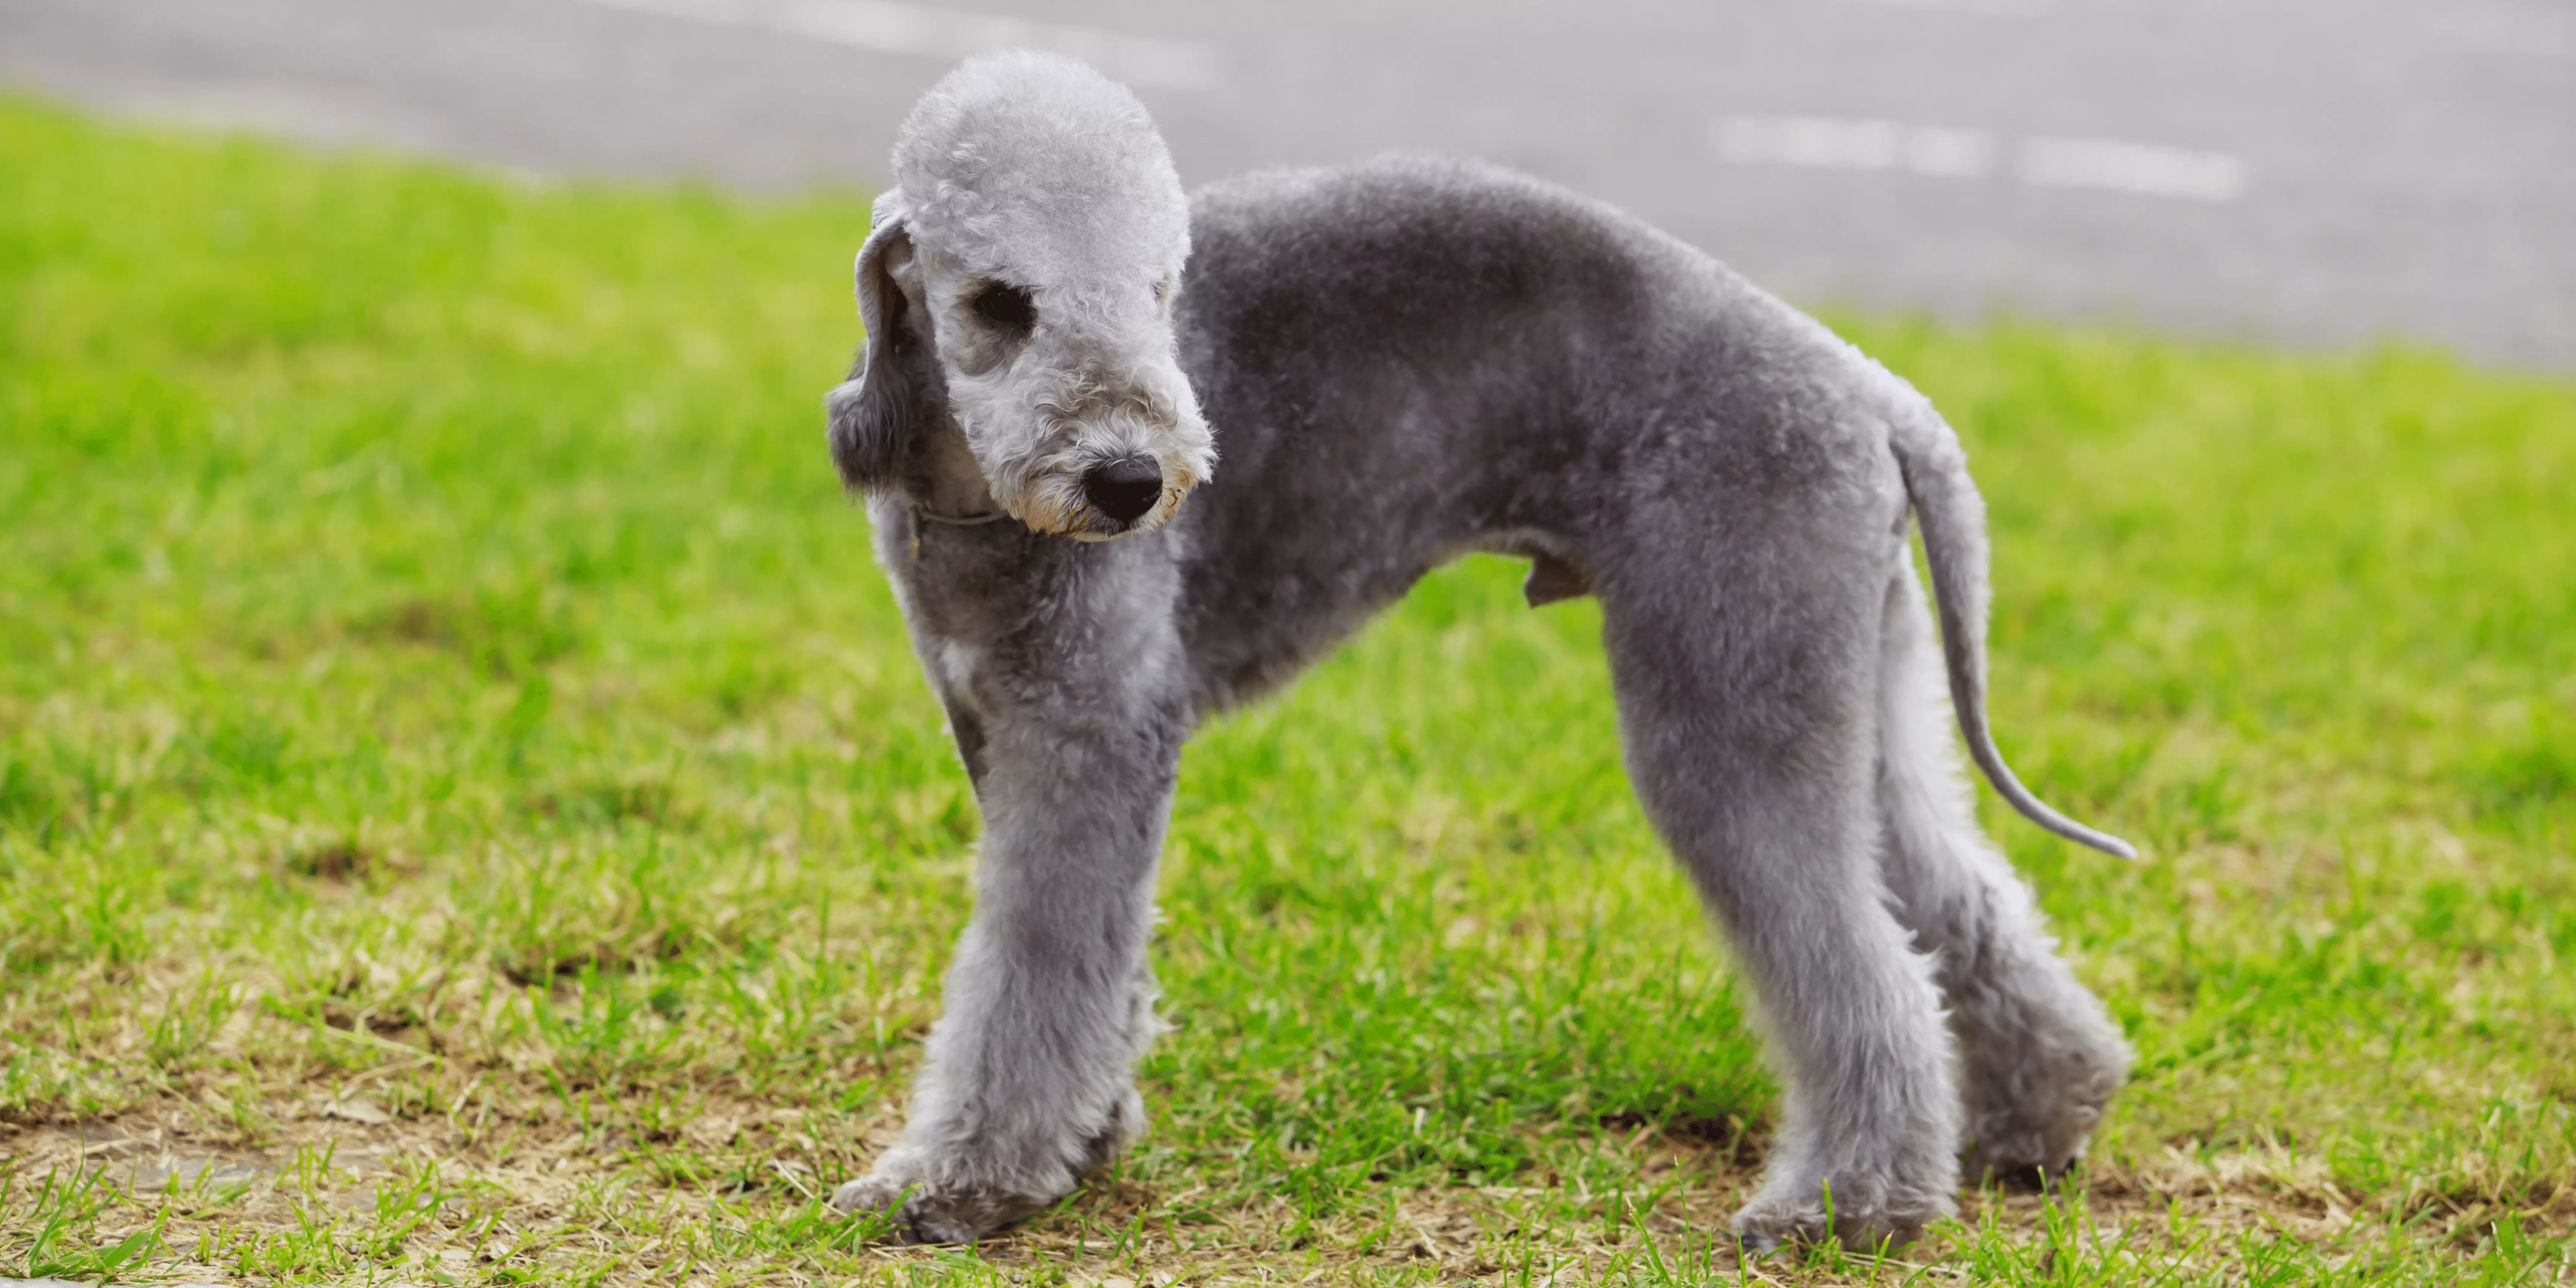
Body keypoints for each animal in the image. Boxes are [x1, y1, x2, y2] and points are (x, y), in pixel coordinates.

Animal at [824, 55, 2133, 1252]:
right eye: (1001, 304)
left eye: (1158, 293)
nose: (1134, 484)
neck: (973, 498)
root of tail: (1869, 388)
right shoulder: (1001, 723)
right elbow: (1095, 963)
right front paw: (1087, 1139)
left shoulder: (1094, 732)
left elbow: (1034, 968)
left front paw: (960, 1184)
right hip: (1842, 666)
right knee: (1958, 904)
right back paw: (2037, 1122)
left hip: (1730, 684)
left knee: (1869, 968)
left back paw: (1847, 1208)